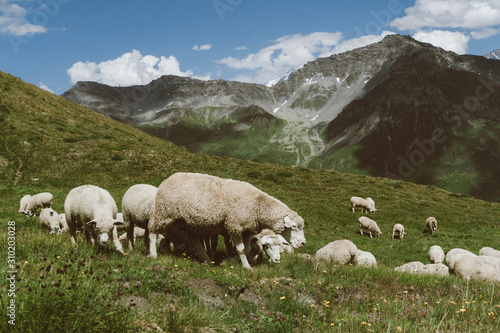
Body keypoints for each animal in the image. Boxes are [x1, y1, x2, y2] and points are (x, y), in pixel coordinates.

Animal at [148, 172, 304, 268]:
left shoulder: (246, 229)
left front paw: (230, 261)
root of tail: (168, 179)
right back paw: (153, 254)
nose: (303, 243)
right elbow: (241, 249)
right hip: (164, 213)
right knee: (152, 232)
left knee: (194, 240)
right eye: (294, 226)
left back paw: (207, 259)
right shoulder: (234, 226)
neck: (257, 205)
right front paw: (246, 267)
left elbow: (246, 249)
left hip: (190, 223)